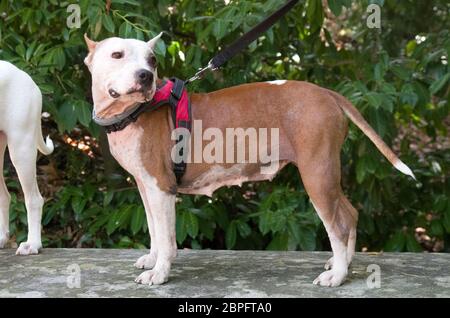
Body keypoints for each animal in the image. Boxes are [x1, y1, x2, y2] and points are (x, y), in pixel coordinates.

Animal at [83, 33, 414, 286]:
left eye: (151, 60)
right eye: (117, 54)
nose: (146, 75)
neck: (133, 113)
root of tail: (326, 93)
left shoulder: (161, 187)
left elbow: (166, 238)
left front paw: (159, 272)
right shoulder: (146, 185)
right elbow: (154, 229)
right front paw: (151, 259)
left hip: (317, 174)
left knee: (339, 224)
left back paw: (338, 277)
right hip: (326, 175)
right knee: (351, 213)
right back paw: (341, 263)